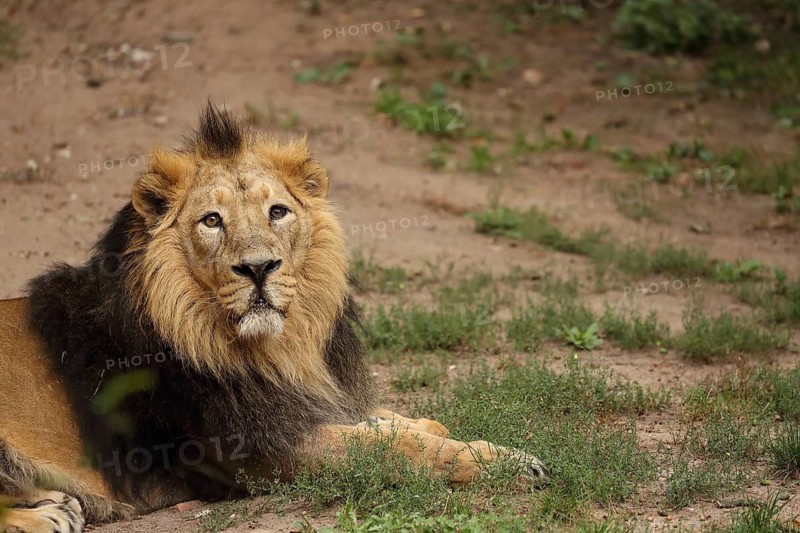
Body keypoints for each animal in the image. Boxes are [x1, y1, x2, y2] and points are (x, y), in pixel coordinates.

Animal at [0, 103, 547, 533]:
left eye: (278, 212)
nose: (259, 267)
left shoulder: (304, 402)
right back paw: (48, 514)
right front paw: (510, 463)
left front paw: (430, 427)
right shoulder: (270, 450)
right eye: (212, 221)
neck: (277, 349)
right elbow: (397, 450)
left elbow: (402, 425)